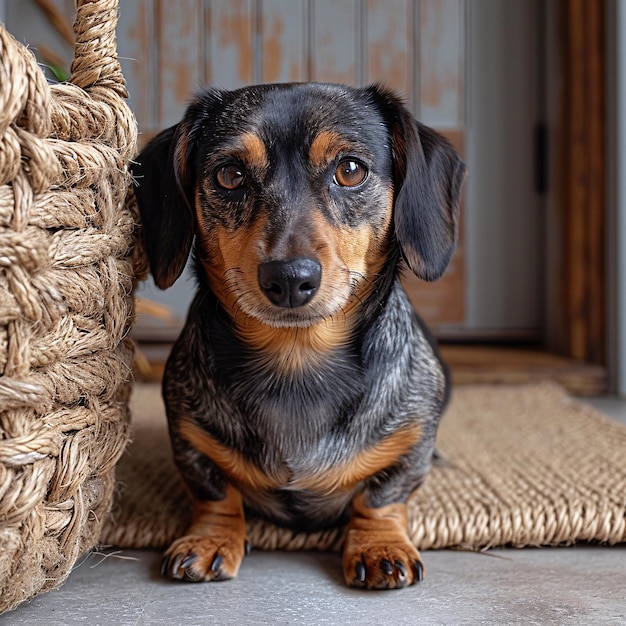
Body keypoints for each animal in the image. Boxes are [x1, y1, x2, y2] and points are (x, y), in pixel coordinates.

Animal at [134, 81, 466, 584]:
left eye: (350, 169)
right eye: (229, 174)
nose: (289, 278)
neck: (297, 360)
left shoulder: (409, 449)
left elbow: (381, 497)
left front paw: (379, 545)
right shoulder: (190, 444)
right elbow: (216, 493)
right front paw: (210, 538)